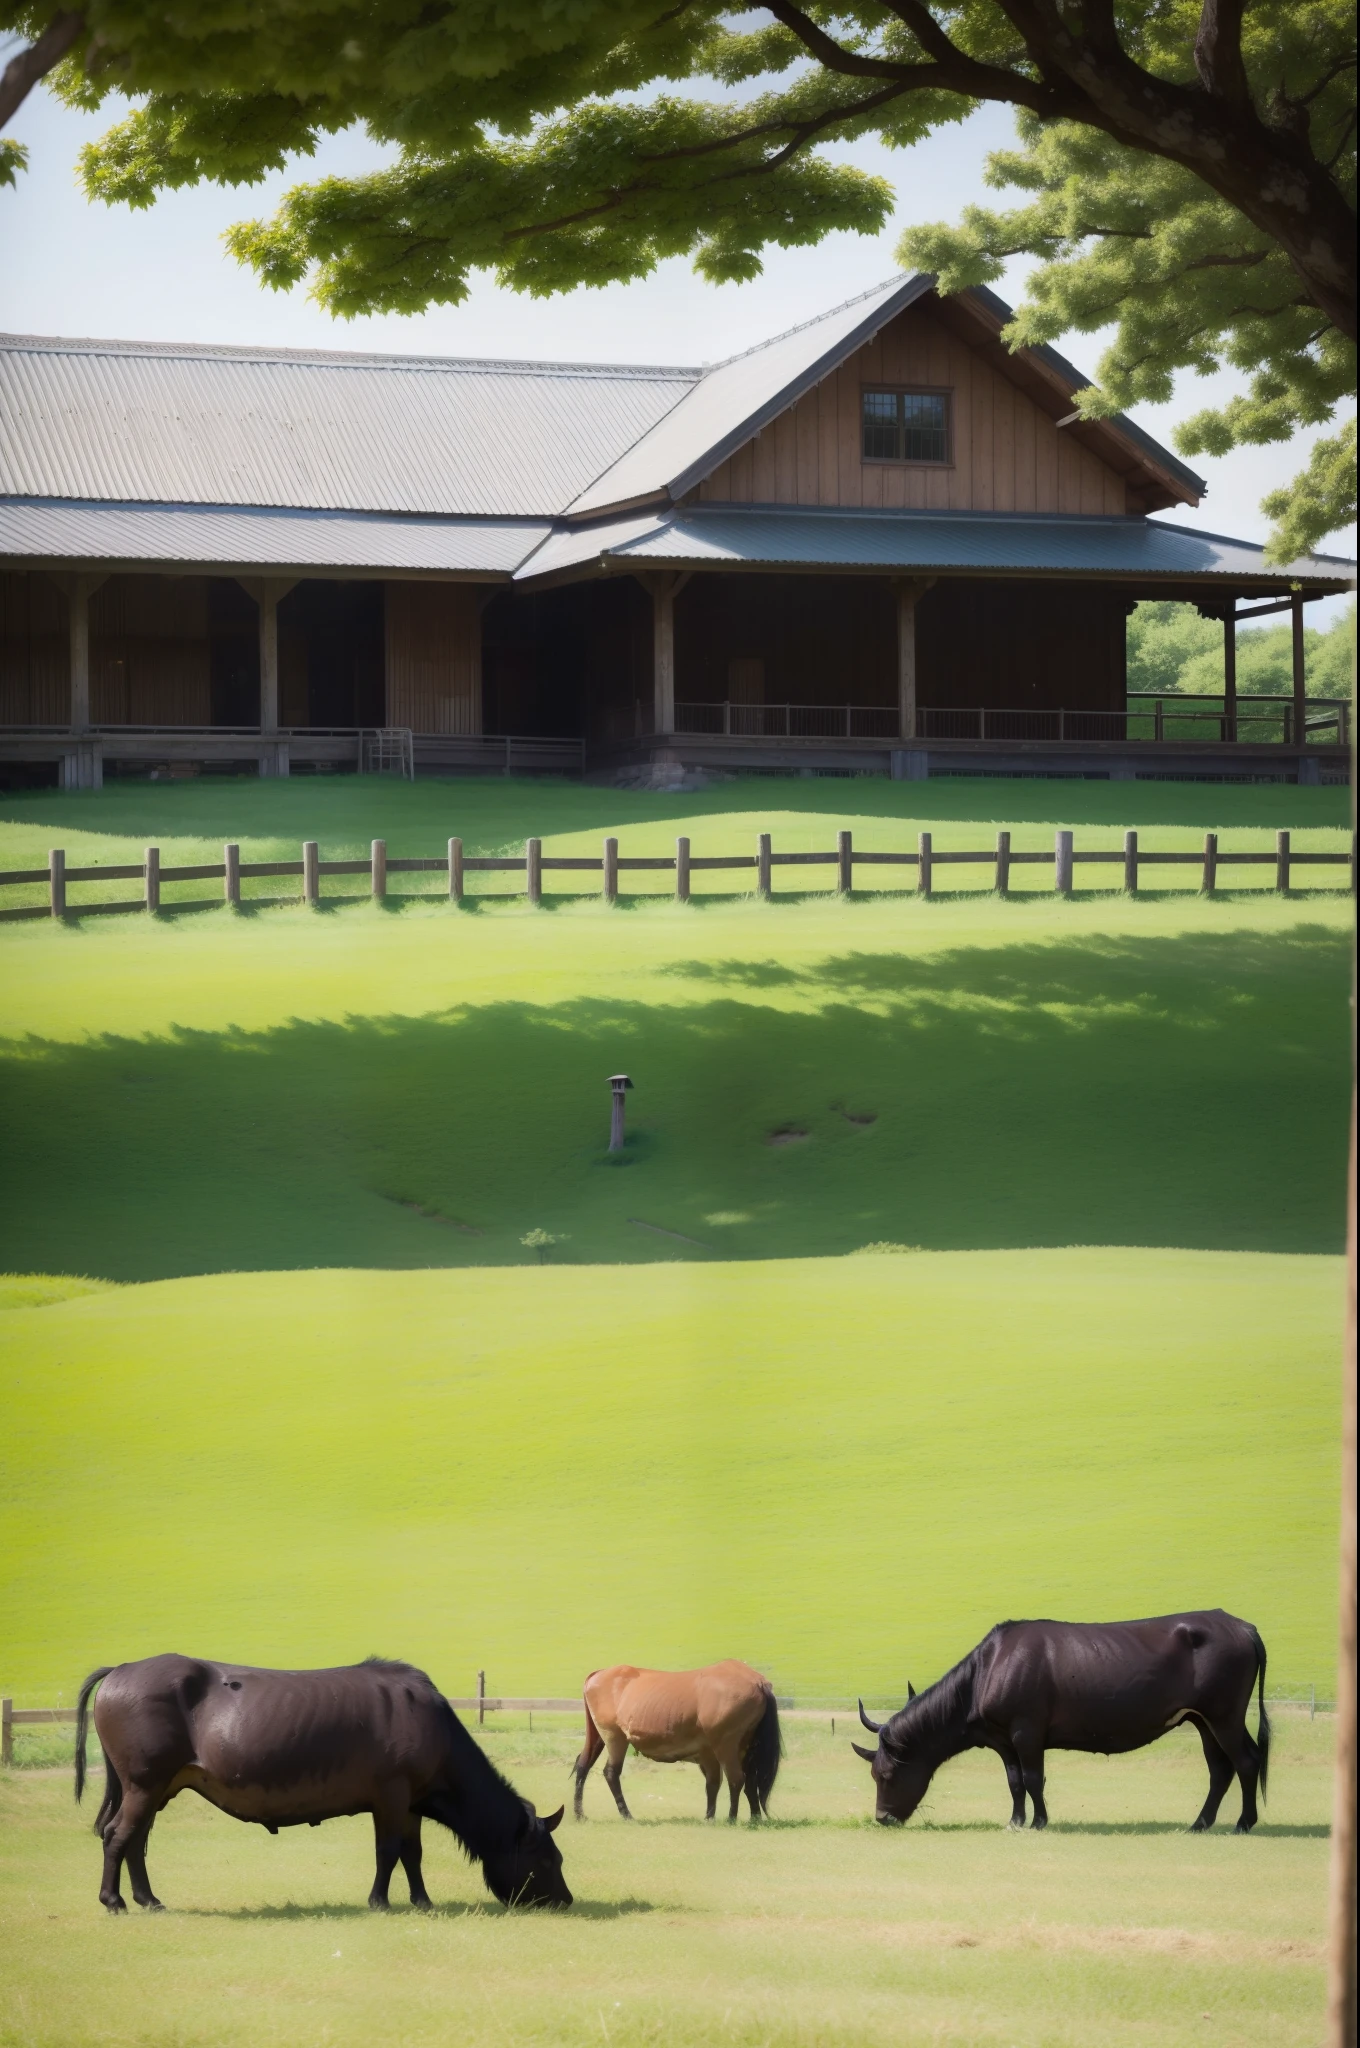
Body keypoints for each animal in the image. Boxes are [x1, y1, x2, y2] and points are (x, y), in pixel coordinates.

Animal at [71, 1654, 569, 1908]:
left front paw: (422, 1900)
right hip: (144, 1780)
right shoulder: (391, 1792)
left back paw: (147, 1897)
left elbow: (412, 1853)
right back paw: (114, 1900)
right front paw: (379, 1900)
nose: (565, 1900)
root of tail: (119, 1670)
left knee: (135, 1838)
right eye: (549, 1860)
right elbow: (388, 1851)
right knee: (118, 1834)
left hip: (158, 1785)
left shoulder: (409, 1800)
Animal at [569, 1662, 782, 1826]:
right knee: (611, 1773)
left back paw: (580, 1814)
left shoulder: (716, 1754)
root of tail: (598, 1673)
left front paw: (713, 1817)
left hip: (599, 1736)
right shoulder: (720, 1748)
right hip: (615, 1737)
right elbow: (729, 1780)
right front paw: (726, 1817)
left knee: (583, 1764)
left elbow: (717, 1783)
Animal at [856, 1605, 1269, 1835]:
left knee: (1247, 1760)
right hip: (1203, 1719)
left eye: (885, 1775)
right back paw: (1200, 1823)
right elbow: (1014, 1782)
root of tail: (1243, 1627)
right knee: (1220, 1769)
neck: (986, 1671)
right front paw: (1016, 1820)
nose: (882, 1818)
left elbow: (1033, 1778)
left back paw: (1243, 1823)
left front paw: (1039, 1821)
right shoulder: (1002, 1738)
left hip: (1224, 1714)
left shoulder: (1027, 1730)